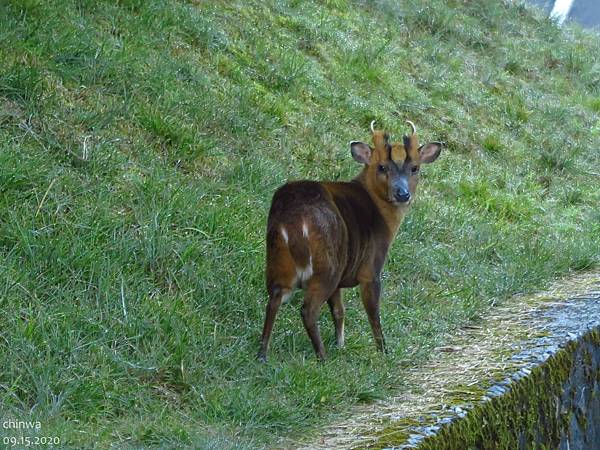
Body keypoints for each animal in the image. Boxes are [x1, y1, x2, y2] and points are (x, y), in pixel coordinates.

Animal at [255, 121, 442, 360]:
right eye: (382, 167)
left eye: (415, 168)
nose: (403, 194)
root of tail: (294, 219)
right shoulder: (370, 269)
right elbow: (373, 313)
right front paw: (383, 351)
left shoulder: (342, 278)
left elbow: (339, 311)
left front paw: (340, 344)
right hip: (326, 266)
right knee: (307, 310)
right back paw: (322, 357)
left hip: (279, 259)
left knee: (274, 299)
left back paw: (263, 354)